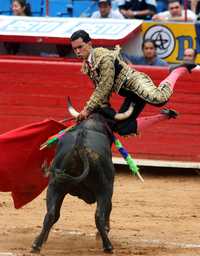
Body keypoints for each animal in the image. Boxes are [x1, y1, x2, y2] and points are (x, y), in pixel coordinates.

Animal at [31, 113, 117, 253]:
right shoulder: (108, 190)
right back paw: (108, 246)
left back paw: (36, 245)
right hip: (105, 189)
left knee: (51, 214)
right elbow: (108, 210)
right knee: (99, 216)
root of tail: (80, 146)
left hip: (55, 186)